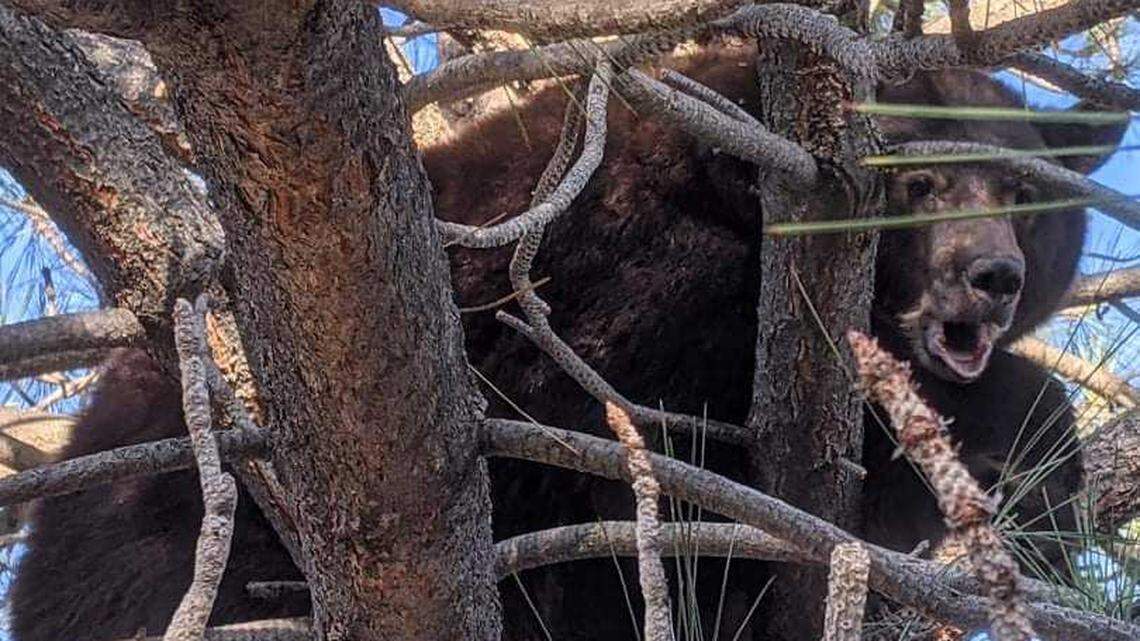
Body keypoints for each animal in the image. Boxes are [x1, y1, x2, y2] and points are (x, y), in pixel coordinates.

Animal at [11, 44, 1122, 641]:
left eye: (1021, 192)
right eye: (919, 182)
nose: (992, 275)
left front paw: (1028, 482)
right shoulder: (605, 288)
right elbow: (678, 435)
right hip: (184, 540)